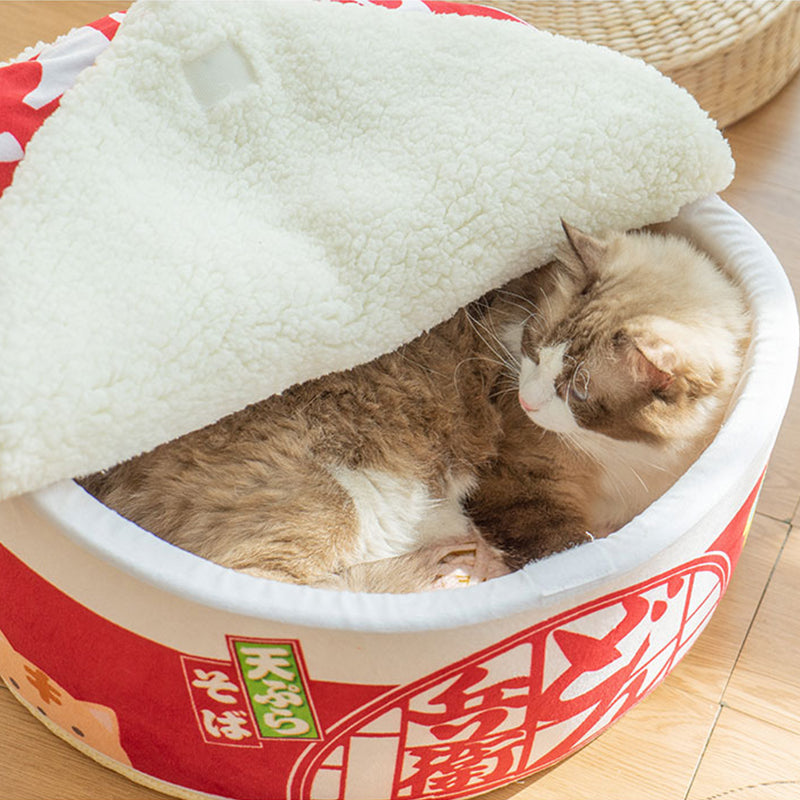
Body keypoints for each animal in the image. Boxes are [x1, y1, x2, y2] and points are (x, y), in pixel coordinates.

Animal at [81, 222, 752, 592]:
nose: (528, 398)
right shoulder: (521, 484)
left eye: (579, 391)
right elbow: (568, 545)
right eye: (534, 346)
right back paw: (449, 572)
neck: (632, 466)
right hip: (329, 504)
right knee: (280, 591)